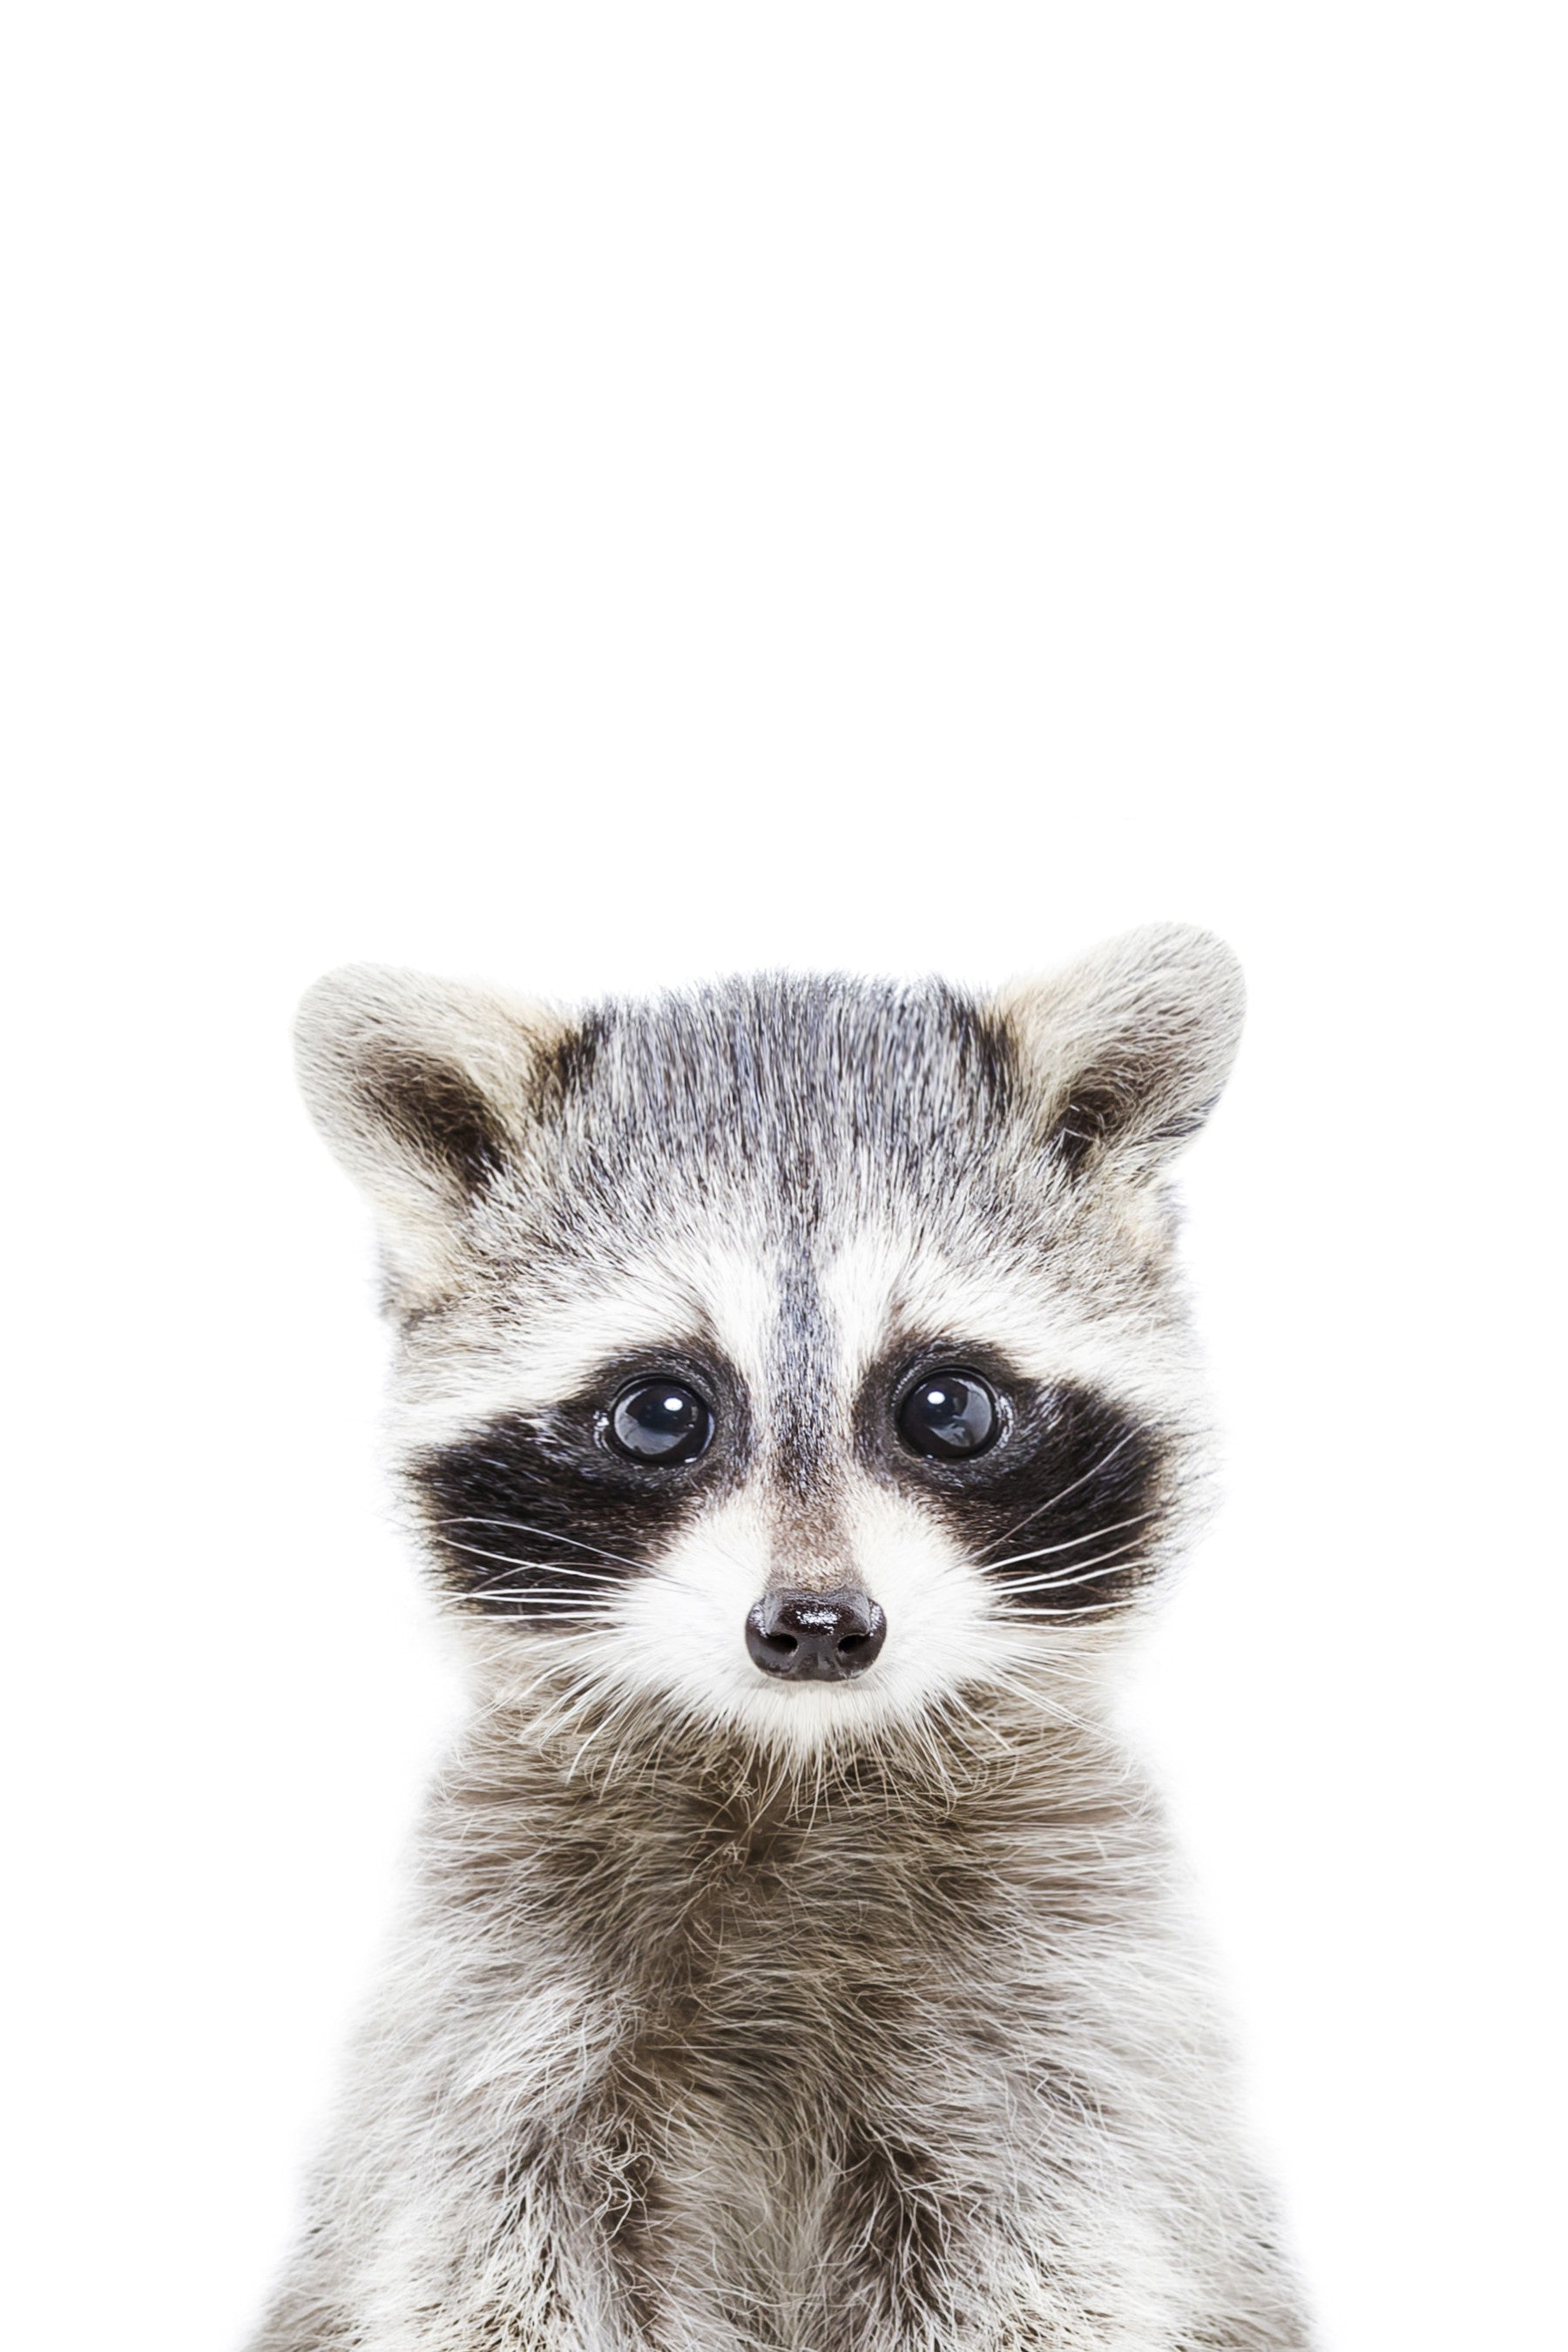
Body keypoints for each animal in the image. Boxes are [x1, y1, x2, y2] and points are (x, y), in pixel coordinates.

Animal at [251, 925, 1312, 2352]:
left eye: (947, 1406)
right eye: (659, 1413)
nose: (816, 1626)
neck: (794, 1767)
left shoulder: (1072, 2017)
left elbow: (1052, 2263)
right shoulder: (493, 2006)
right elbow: (484, 2261)